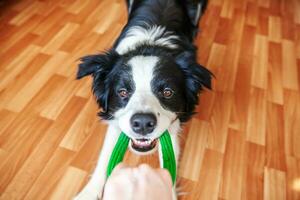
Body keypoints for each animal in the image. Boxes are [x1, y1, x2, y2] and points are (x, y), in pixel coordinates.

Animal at [74, 0, 211, 198]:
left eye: (168, 92)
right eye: (123, 92)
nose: (143, 123)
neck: (150, 45)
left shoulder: (171, 126)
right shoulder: (117, 120)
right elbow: (104, 158)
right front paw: (87, 193)